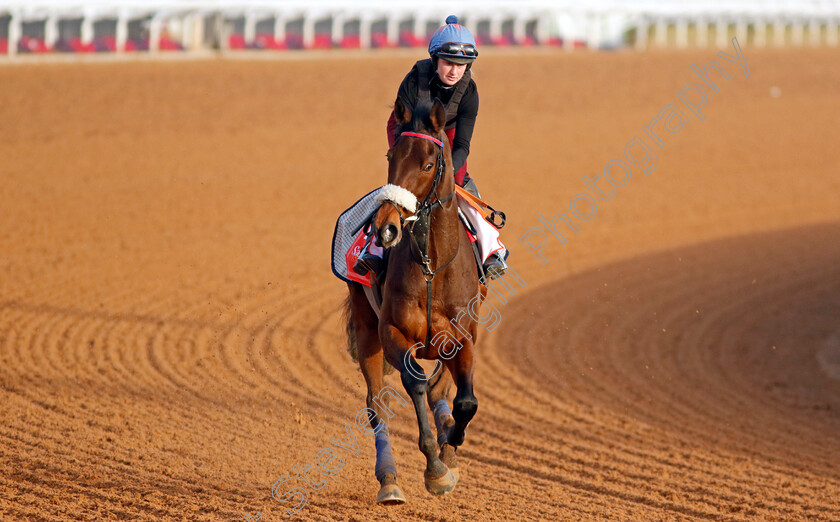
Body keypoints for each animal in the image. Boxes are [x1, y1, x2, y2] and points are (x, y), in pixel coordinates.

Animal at [342, 97, 486, 504]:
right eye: (391, 156)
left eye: (427, 164)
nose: (386, 227)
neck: (431, 267)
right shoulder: (391, 332)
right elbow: (414, 383)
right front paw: (434, 467)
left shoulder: (463, 337)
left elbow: (465, 401)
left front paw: (450, 446)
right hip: (367, 329)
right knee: (377, 404)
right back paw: (389, 480)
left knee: (441, 390)